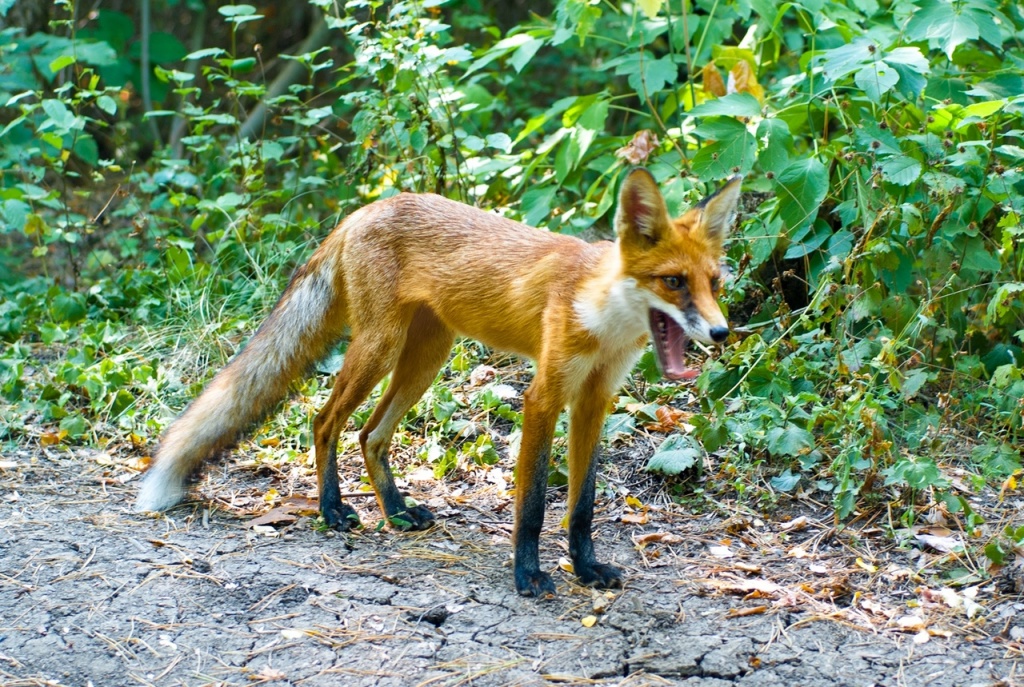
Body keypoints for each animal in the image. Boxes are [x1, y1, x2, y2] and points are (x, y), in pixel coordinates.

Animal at [138, 167, 745, 597]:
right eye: (673, 282)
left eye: (713, 282)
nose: (721, 332)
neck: (601, 318)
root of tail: (366, 208)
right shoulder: (544, 397)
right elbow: (532, 506)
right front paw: (527, 577)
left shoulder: (594, 400)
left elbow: (583, 505)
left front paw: (587, 567)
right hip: (379, 349)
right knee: (325, 420)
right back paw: (333, 511)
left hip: (426, 359)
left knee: (370, 435)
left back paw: (398, 512)